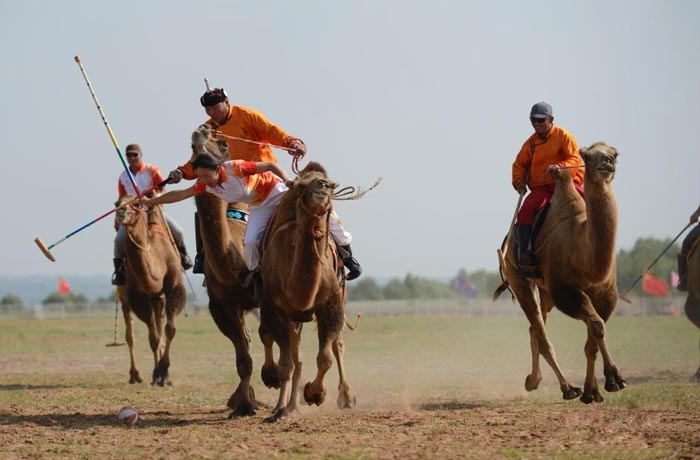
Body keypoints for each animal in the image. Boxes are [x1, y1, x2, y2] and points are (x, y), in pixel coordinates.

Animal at [114, 196, 186, 386]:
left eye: (136, 203)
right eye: (116, 203)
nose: (120, 212)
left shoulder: (173, 286)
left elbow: (169, 330)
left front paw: (164, 375)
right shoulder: (137, 295)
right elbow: (152, 337)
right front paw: (158, 374)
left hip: (158, 299)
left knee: (159, 327)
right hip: (126, 297)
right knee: (130, 335)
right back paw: (135, 375)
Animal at [191, 125, 282, 416]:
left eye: (223, 145)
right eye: (191, 148)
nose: (201, 130)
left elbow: (269, 335)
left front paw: (272, 377)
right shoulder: (221, 304)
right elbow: (243, 356)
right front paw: (243, 405)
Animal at [258, 163, 356, 424]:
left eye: (330, 183)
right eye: (301, 185)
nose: (322, 187)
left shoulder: (331, 304)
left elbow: (325, 357)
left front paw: (315, 393)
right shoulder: (275, 309)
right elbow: (286, 363)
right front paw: (281, 409)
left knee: (337, 344)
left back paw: (346, 397)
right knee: (286, 350)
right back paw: (283, 400)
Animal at [494, 142, 628, 404]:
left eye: (614, 153)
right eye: (587, 156)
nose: (607, 162)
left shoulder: (607, 294)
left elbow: (592, 340)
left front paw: (593, 391)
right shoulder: (565, 291)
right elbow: (596, 325)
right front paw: (614, 379)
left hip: (544, 291)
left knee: (535, 329)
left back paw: (534, 380)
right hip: (520, 280)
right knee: (540, 332)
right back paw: (567, 387)